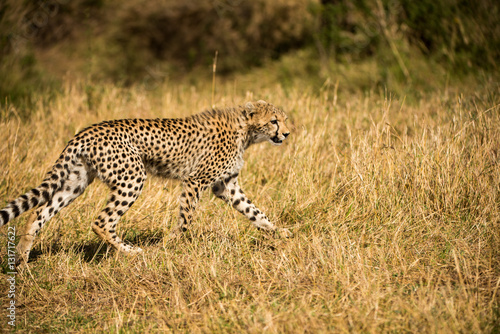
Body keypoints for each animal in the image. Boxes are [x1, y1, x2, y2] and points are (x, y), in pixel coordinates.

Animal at [0, 100, 292, 264]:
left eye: (284, 119)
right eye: (274, 121)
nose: (287, 133)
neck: (245, 130)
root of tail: (84, 132)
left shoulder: (226, 185)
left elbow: (254, 211)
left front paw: (279, 232)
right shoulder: (195, 181)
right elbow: (186, 219)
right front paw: (170, 245)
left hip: (76, 182)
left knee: (38, 212)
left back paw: (22, 260)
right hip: (132, 176)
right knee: (101, 221)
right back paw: (132, 252)